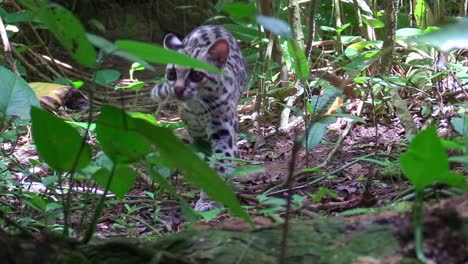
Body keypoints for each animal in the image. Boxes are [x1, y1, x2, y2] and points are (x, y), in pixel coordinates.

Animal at [152, 25, 247, 211]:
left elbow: (220, 163)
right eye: (172, 73)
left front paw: (209, 200)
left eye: (196, 75)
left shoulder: (224, 131)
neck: (198, 107)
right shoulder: (195, 132)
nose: (178, 89)